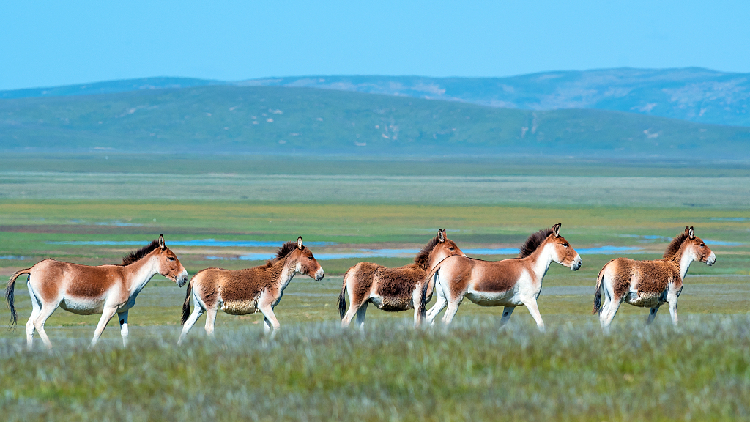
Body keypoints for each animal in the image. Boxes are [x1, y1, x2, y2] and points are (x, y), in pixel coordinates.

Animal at [6, 234, 188, 350]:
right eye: (171, 257)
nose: (185, 277)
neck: (127, 277)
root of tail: (33, 268)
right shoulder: (110, 309)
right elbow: (98, 331)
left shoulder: (123, 311)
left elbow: (125, 333)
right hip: (50, 305)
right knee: (38, 323)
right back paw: (51, 349)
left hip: (37, 304)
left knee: (30, 325)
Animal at [181, 237, 326, 342]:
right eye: (310, 257)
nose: (322, 274)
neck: (276, 278)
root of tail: (196, 276)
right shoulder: (265, 306)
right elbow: (277, 326)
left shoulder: (269, 308)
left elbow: (267, 329)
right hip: (212, 307)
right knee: (209, 328)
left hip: (199, 308)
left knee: (186, 327)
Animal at [428, 223, 580, 332]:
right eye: (565, 244)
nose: (579, 262)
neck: (531, 268)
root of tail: (443, 262)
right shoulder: (530, 300)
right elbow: (540, 323)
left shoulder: (510, 305)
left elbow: (502, 324)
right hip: (455, 300)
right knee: (445, 321)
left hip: (443, 299)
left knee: (429, 316)